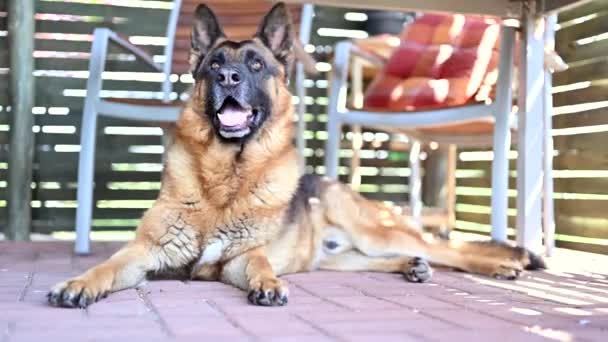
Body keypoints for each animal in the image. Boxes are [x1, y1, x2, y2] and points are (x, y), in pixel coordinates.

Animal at [46, 2, 540, 308]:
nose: (227, 76)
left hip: (376, 231)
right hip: (342, 257)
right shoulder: (143, 253)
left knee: (448, 248)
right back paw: (411, 268)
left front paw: (268, 284)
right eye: (213, 66)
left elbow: (260, 262)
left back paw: (502, 264)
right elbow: (107, 265)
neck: (225, 178)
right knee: (386, 259)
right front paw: (78, 282)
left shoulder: (242, 259)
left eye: (256, 65)